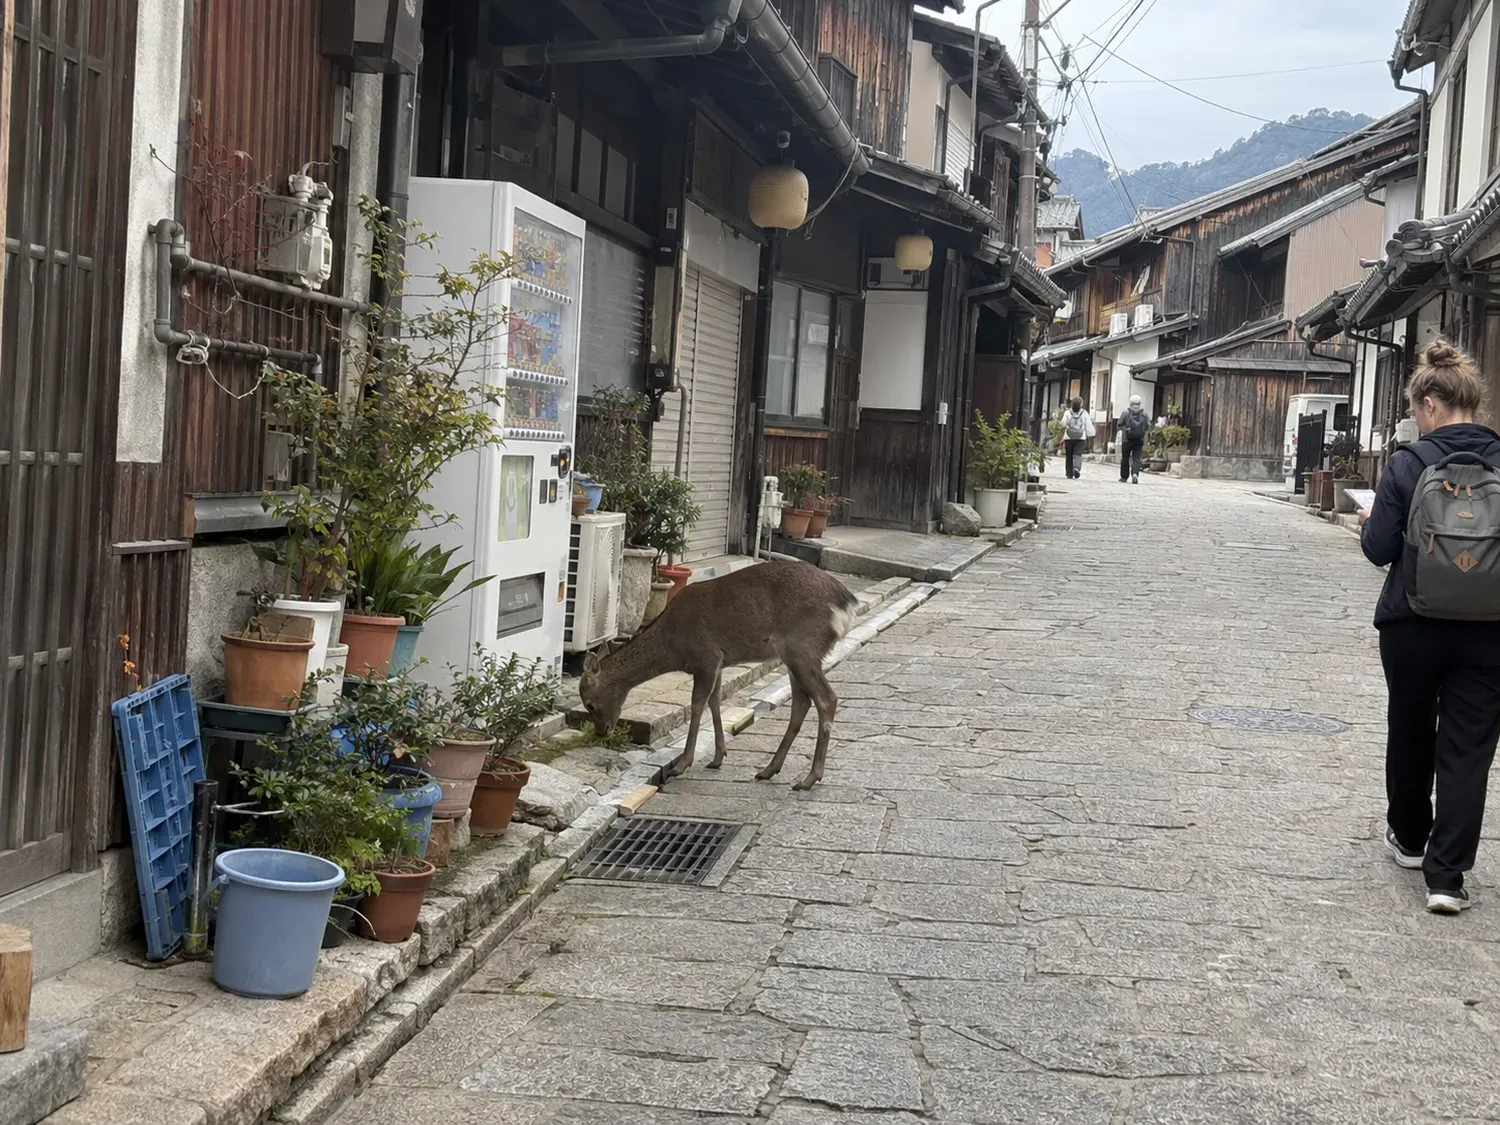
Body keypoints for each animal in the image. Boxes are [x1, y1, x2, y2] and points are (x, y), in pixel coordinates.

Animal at [579, 560, 858, 790]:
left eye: (589, 704)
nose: (601, 732)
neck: (672, 645)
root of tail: (847, 604)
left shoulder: (706, 657)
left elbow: (696, 706)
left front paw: (682, 764)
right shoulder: (720, 663)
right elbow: (715, 701)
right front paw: (717, 757)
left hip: (802, 649)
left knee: (826, 699)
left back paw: (809, 778)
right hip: (794, 656)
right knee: (801, 703)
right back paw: (768, 770)